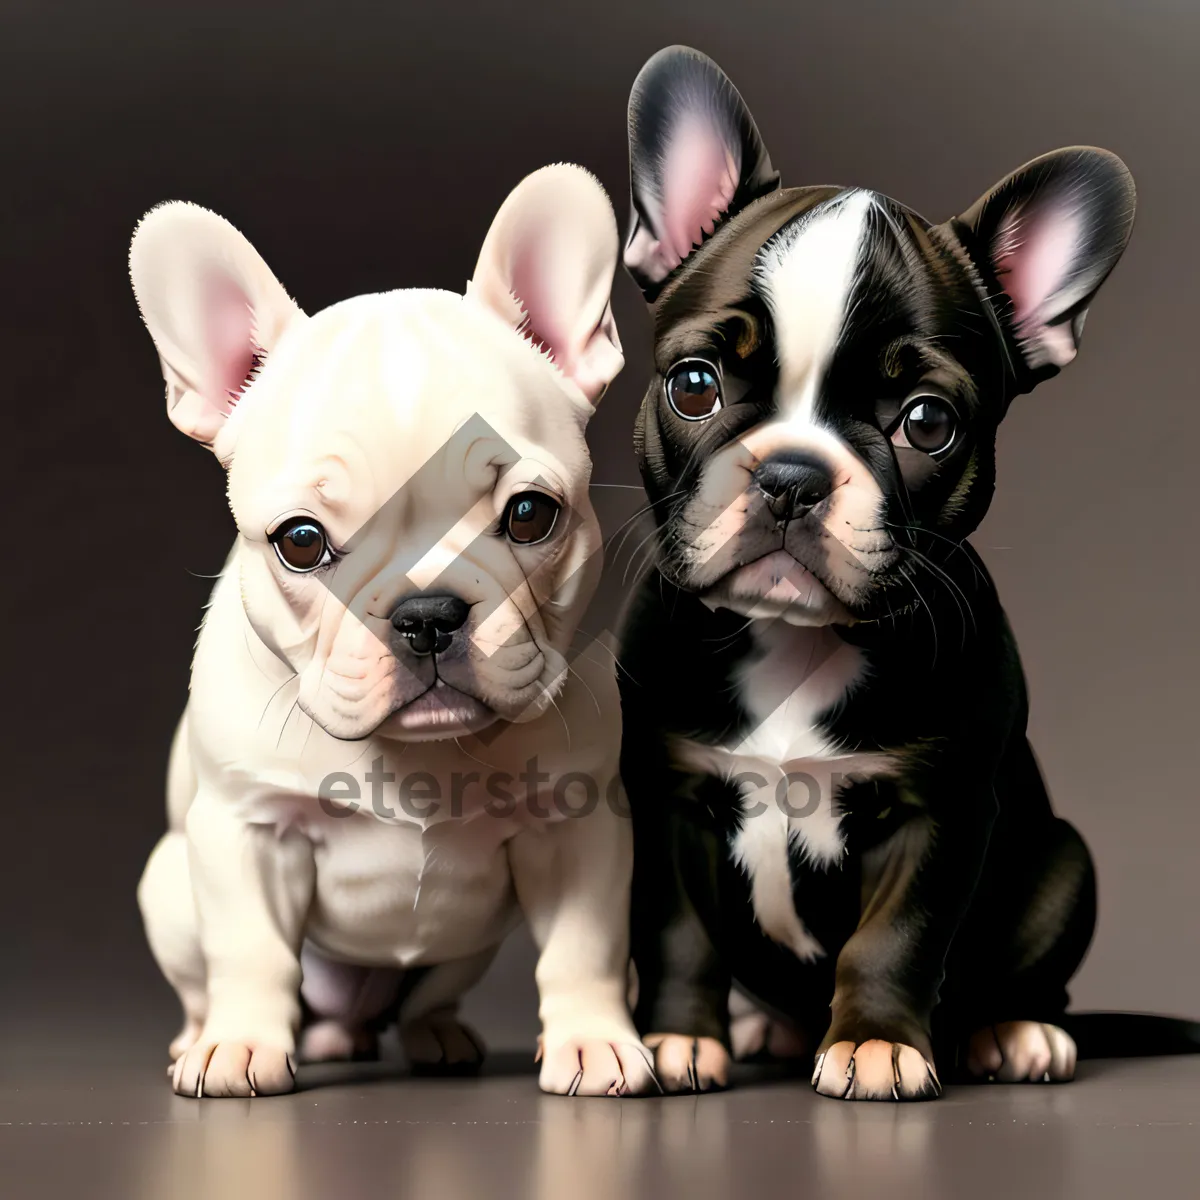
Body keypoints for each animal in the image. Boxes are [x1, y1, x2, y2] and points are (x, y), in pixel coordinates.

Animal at [132, 164, 657, 1099]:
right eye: (301, 542)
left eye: (530, 515)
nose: (426, 613)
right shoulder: (245, 832)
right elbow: (251, 953)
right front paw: (239, 1045)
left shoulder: (580, 831)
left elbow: (583, 948)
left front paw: (596, 1040)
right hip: (167, 885)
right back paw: (206, 1037)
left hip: (465, 949)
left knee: (422, 999)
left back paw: (431, 1037)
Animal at [614, 44, 1137, 1099]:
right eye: (695, 385)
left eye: (927, 422)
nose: (792, 476)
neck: (791, 641)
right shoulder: (669, 796)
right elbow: (678, 928)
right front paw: (680, 1038)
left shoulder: (938, 810)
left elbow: (896, 938)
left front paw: (877, 1044)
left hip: (1066, 863)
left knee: (1023, 978)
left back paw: (1015, 1032)